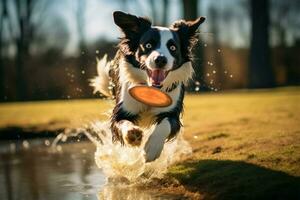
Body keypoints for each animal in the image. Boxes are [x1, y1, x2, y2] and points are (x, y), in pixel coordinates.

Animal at [90, 10, 205, 162]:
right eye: (148, 45)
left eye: (173, 47)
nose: (160, 59)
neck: (152, 89)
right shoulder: (121, 111)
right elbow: (122, 123)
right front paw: (132, 134)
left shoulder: (172, 113)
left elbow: (165, 124)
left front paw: (153, 148)